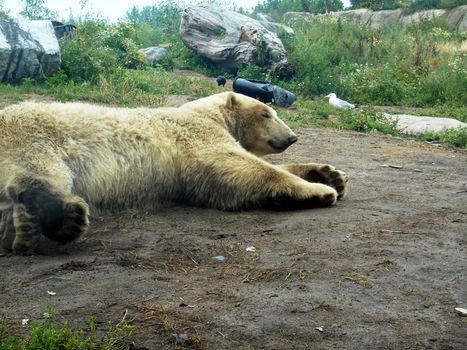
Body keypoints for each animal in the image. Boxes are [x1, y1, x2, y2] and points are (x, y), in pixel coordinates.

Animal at [0, 91, 348, 253]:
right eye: (266, 113)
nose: (292, 137)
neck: (206, 113)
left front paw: (330, 174)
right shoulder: (196, 135)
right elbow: (234, 163)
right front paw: (321, 191)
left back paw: (25, 230)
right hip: (33, 135)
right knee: (41, 173)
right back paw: (63, 219)